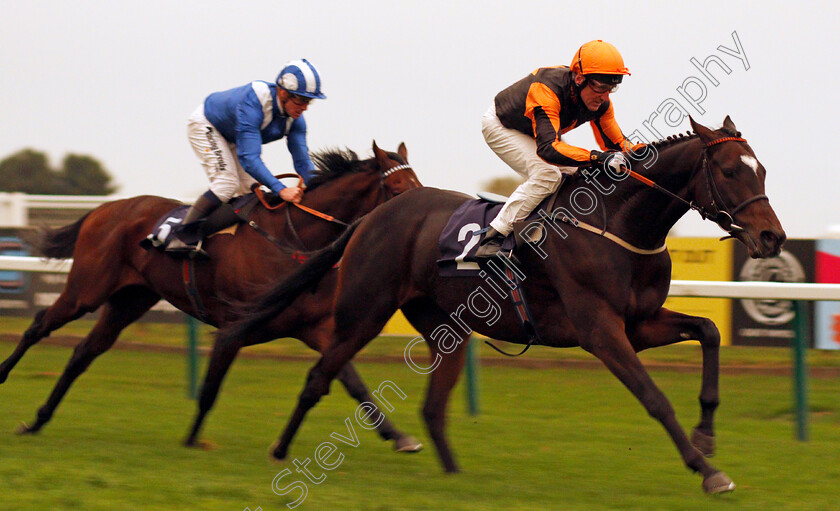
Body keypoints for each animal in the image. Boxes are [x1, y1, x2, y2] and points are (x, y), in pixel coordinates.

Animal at [0, 140, 424, 452]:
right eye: (397, 189)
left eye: (419, 186)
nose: (418, 219)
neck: (295, 241)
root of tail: (103, 209)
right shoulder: (234, 326)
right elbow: (209, 388)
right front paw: (192, 441)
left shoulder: (315, 329)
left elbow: (353, 382)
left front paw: (400, 437)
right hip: (86, 291)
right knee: (38, 326)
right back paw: (6, 376)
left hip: (128, 301)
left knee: (82, 354)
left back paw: (38, 420)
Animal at [220, 118, 784, 494]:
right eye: (730, 171)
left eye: (761, 170)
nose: (772, 237)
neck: (618, 223)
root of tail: (371, 217)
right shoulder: (601, 330)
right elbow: (654, 397)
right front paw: (708, 471)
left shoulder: (640, 323)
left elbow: (709, 332)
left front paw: (706, 435)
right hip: (364, 310)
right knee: (320, 376)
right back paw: (280, 453)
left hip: (445, 328)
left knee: (432, 405)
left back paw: (454, 478)